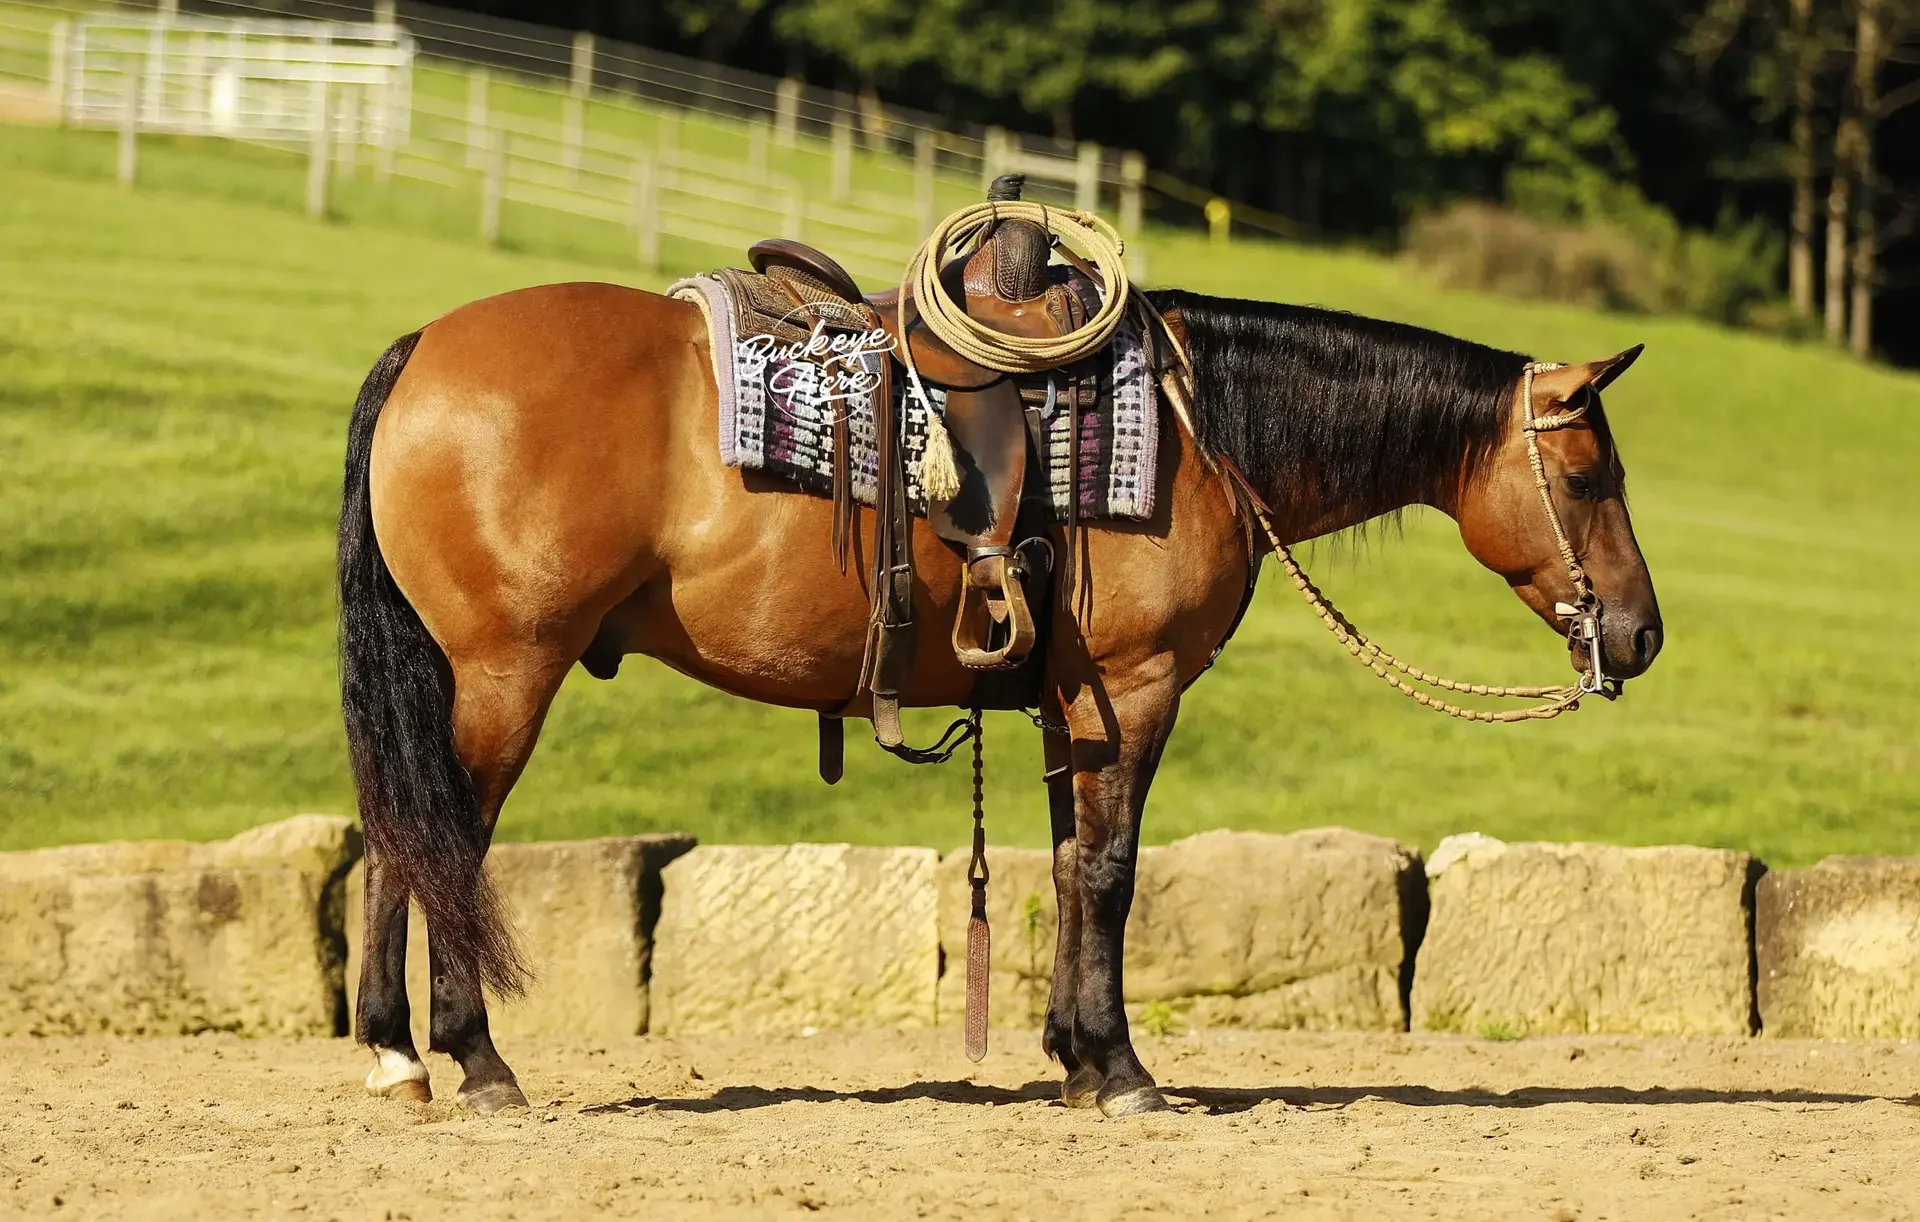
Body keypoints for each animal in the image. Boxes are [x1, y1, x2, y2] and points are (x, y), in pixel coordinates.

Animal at [337, 280, 1663, 1116]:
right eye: (1588, 474)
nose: (1641, 633)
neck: (1193, 434)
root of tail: (424, 346)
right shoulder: (1134, 688)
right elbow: (1111, 872)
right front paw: (1123, 1072)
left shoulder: (1072, 702)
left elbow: (1073, 865)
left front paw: (1076, 1058)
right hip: (508, 670)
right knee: (444, 841)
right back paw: (478, 1061)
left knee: (399, 838)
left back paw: (399, 1056)